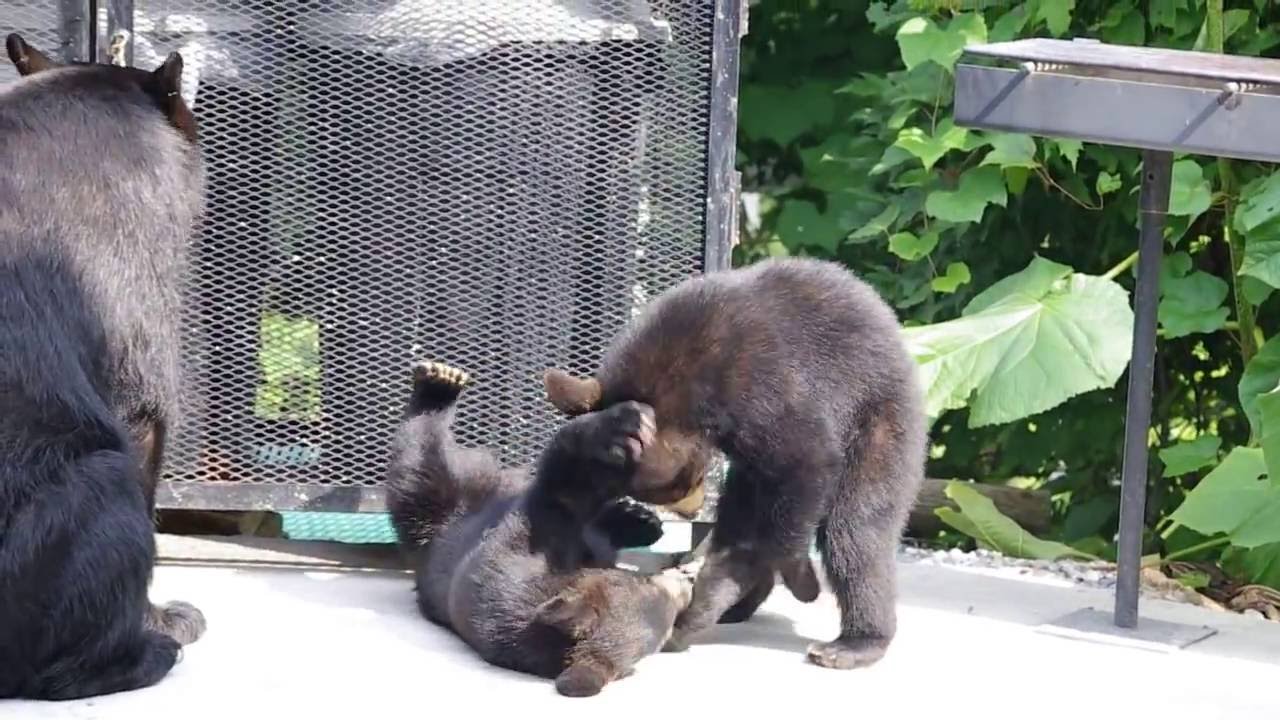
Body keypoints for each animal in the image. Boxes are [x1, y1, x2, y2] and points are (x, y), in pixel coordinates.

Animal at [386, 360, 695, 697]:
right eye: (651, 586)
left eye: (668, 623)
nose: (687, 581)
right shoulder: (515, 554)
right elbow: (561, 490)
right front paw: (622, 430)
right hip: (444, 511)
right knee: (417, 462)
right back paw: (438, 385)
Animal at [543, 256, 928, 670]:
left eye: (678, 484)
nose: (692, 507)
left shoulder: (760, 383)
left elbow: (808, 460)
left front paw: (802, 579)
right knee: (743, 519)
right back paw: (730, 602)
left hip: (881, 420)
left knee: (857, 530)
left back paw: (852, 642)